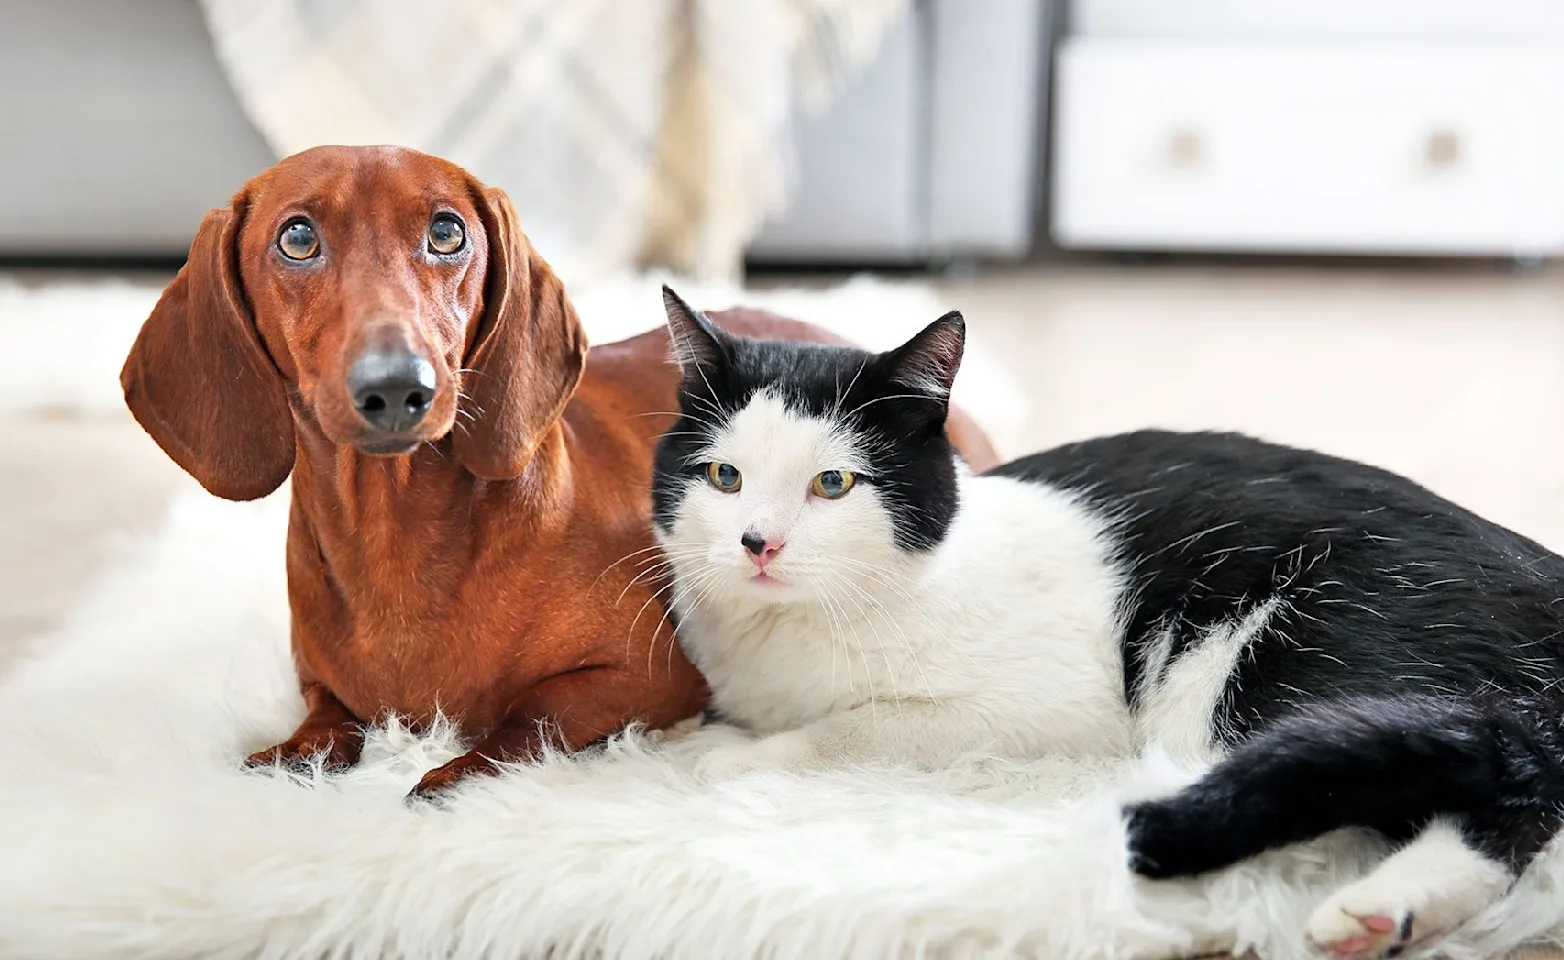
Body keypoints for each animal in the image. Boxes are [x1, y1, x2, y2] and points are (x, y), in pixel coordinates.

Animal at [647, 287, 1564, 960]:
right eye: (725, 477)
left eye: (833, 484)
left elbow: (857, 729)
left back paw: (1378, 899)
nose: (758, 543)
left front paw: (731, 758)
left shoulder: (1038, 711)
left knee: (1481, 763)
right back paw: (1400, 908)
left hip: (1276, 664)